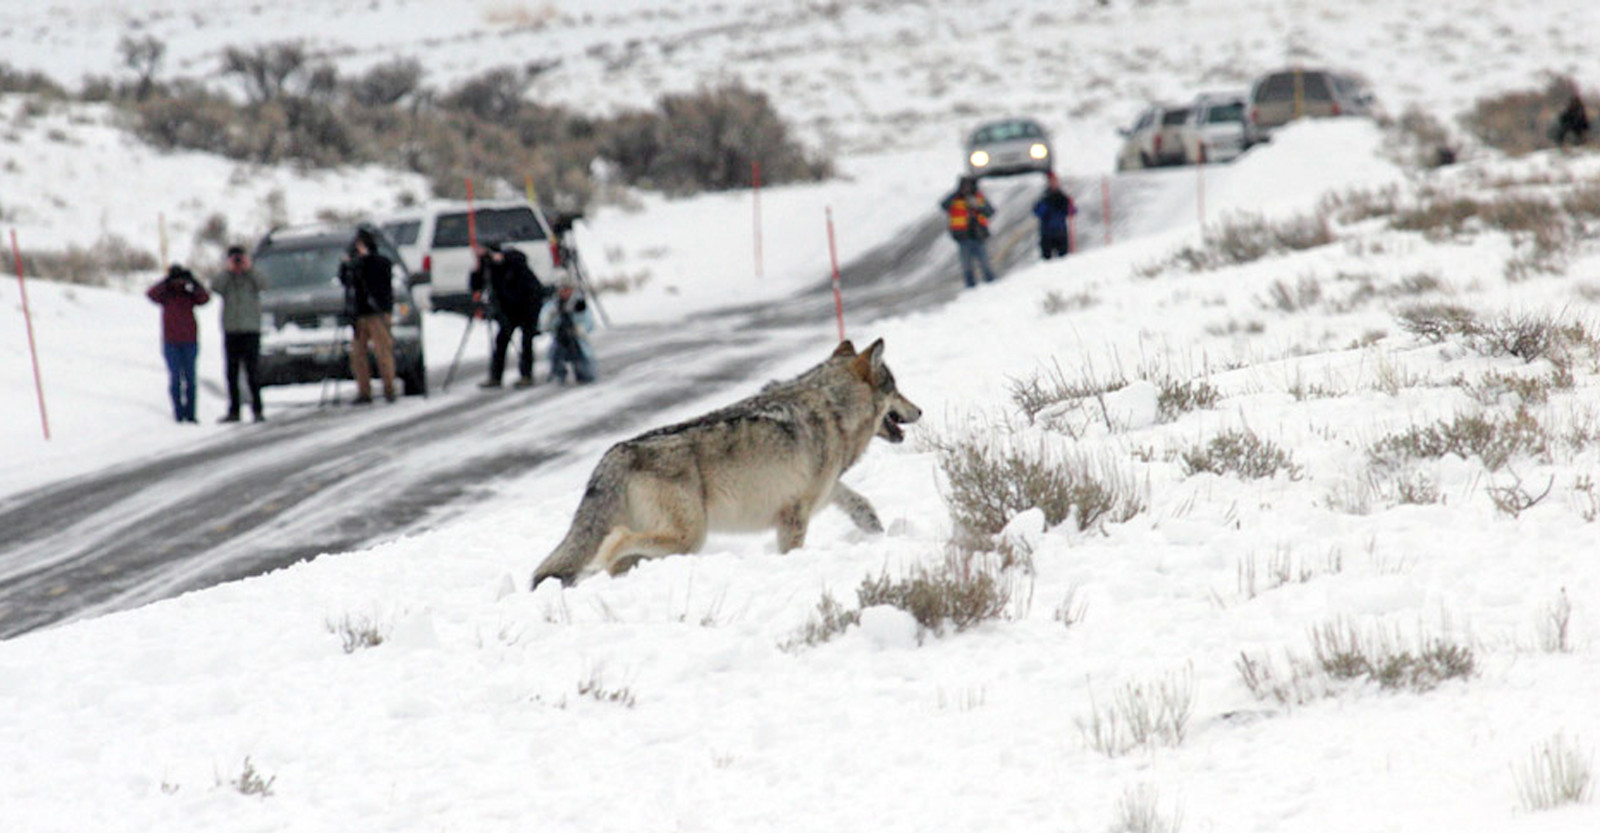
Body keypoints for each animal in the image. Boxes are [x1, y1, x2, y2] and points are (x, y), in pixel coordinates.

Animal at [531, 334, 921, 588]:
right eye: (897, 389)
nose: (919, 410)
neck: (833, 408)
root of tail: (617, 450)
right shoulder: (794, 513)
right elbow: (792, 549)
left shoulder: (824, 492)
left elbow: (860, 502)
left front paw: (876, 531)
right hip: (690, 536)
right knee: (615, 543)